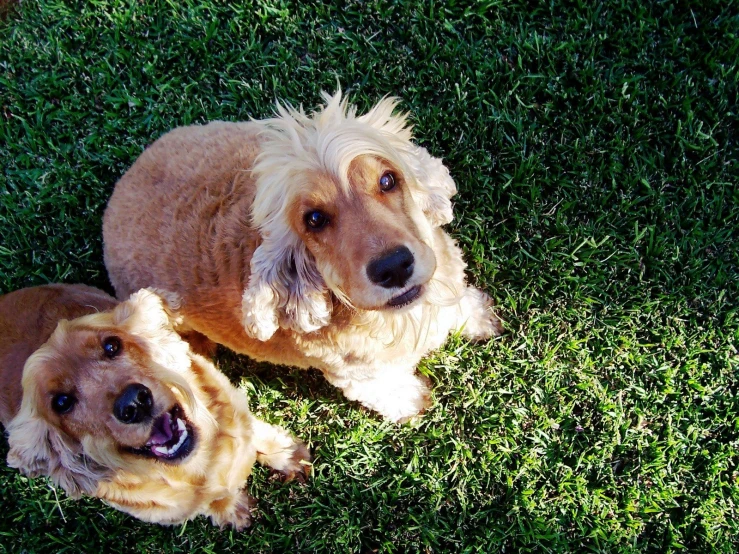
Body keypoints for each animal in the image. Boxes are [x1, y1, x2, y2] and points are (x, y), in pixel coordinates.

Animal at [0, 282, 310, 528]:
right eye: (61, 402)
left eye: (112, 345)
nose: (134, 403)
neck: (200, 461)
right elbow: (216, 498)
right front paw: (230, 509)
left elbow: (257, 431)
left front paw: (288, 455)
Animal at [102, 90, 502, 420]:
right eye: (314, 219)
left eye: (388, 180)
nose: (394, 268)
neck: (404, 317)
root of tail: (119, 191)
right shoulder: (361, 377)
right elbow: (390, 391)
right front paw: (413, 404)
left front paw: (480, 317)